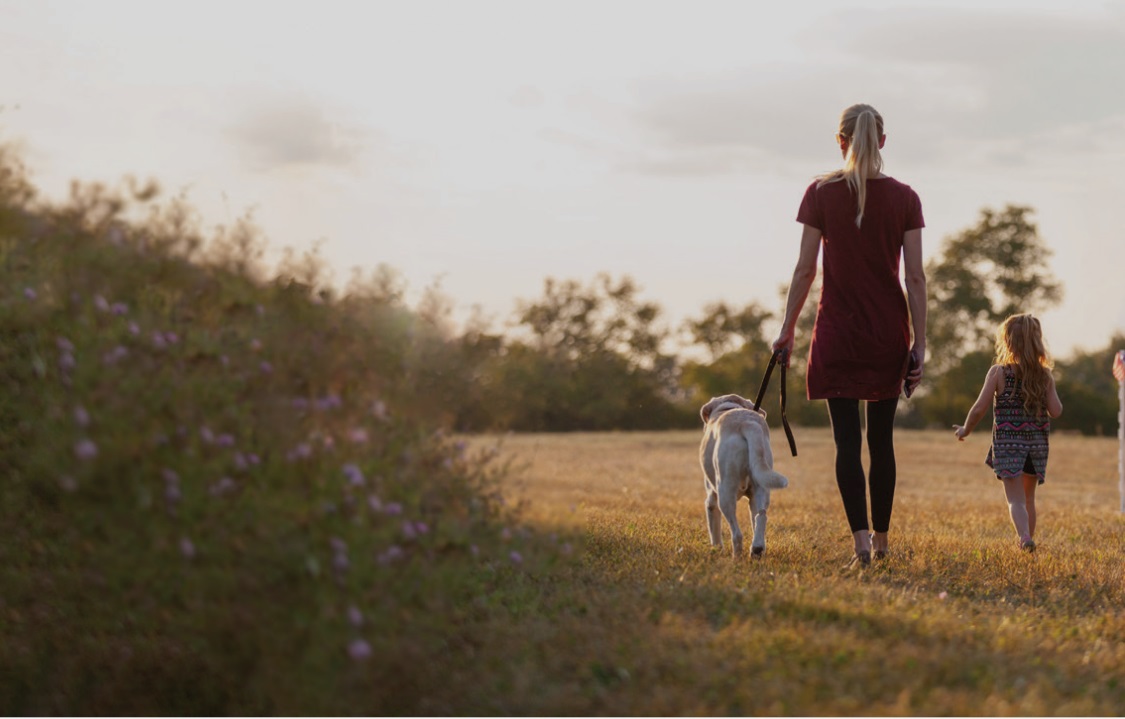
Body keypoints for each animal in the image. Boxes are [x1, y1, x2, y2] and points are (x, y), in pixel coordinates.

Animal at [693, 393, 792, 558]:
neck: (728, 406)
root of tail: (747, 423)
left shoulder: (711, 498)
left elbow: (714, 531)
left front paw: (716, 550)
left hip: (725, 492)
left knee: (737, 534)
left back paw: (736, 558)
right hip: (761, 486)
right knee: (761, 516)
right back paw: (757, 549)